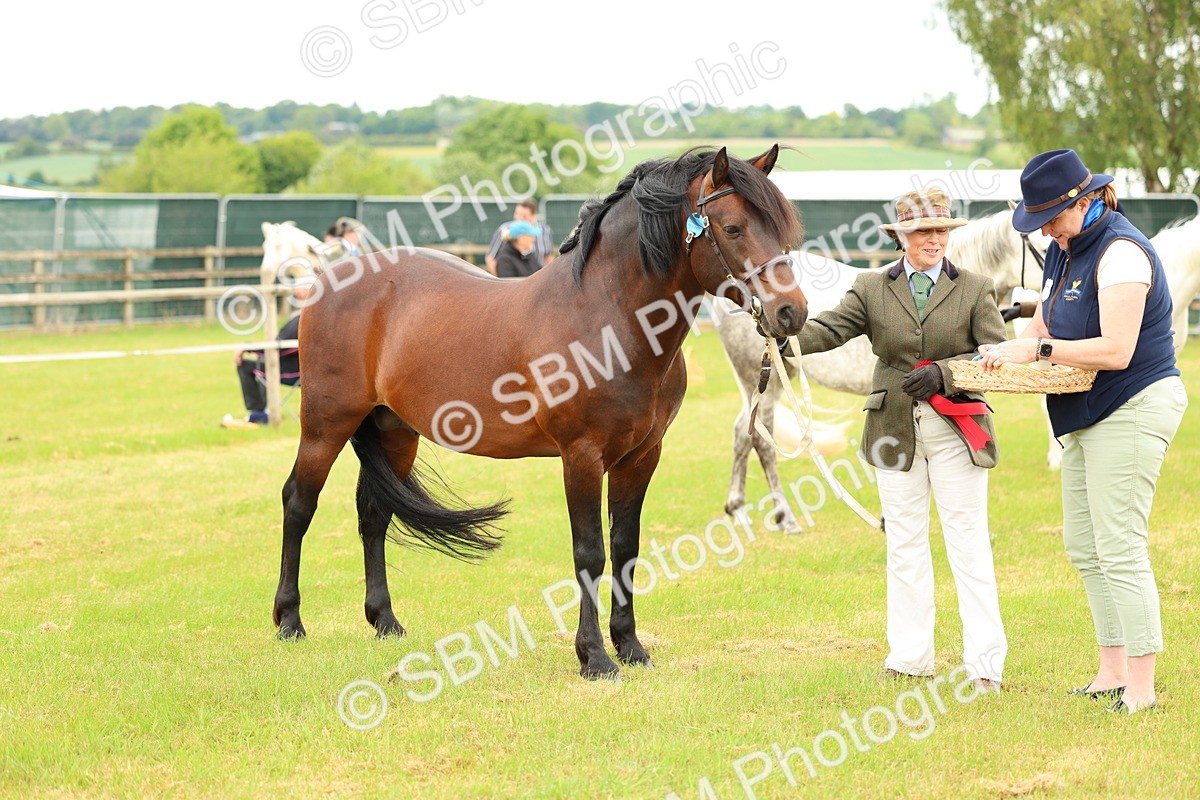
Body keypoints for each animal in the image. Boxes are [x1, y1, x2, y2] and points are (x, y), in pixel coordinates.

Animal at [272, 146, 808, 679]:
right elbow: (589, 552)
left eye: (784, 230)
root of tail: (330, 281)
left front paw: (631, 647)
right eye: (733, 228)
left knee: (374, 513)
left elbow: (626, 548)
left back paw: (385, 621)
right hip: (325, 426)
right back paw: (289, 621)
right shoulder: (582, 456)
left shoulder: (641, 456)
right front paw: (595, 657)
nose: (791, 313)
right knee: (299, 503)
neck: (607, 318)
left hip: (396, 431)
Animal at [714, 208, 1051, 533]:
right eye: (1044, 247)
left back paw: (738, 509)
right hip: (761, 380)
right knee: (759, 440)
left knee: (743, 432)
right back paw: (785, 518)